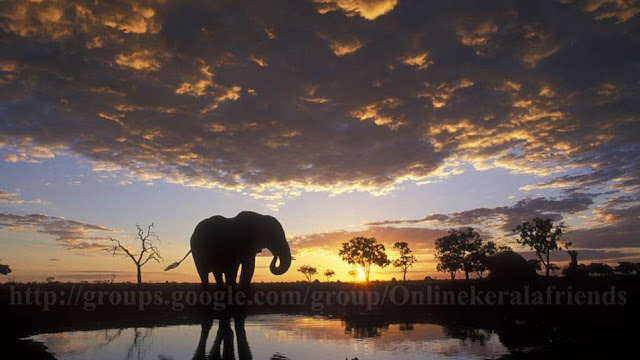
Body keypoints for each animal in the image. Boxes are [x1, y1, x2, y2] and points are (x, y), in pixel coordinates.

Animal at [166, 211, 294, 286]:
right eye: (274, 236)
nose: (276, 255)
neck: (259, 217)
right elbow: (237, 269)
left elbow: (248, 268)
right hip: (197, 251)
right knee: (204, 274)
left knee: (217, 273)